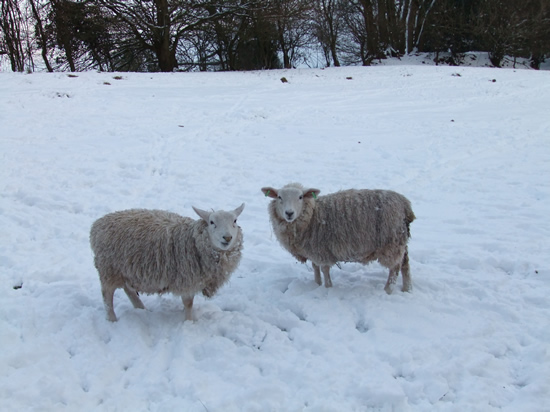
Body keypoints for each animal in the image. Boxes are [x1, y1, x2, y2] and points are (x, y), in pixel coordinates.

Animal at [89, 204, 245, 324]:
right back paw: (112, 319)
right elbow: (188, 303)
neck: (193, 241)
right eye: (212, 222)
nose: (227, 238)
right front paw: (189, 322)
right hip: (109, 269)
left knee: (128, 289)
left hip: (125, 269)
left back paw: (141, 308)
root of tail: (97, 225)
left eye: (235, 220)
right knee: (107, 296)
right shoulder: (186, 279)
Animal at [262, 183, 414, 292]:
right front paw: (317, 284)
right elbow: (315, 267)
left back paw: (388, 290)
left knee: (395, 268)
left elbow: (324, 269)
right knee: (405, 264)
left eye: (300, 197)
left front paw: (328, 287)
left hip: (391, 244)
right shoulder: (313, 249)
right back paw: (407, 289)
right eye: (279, 197)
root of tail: (405, 204)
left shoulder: (322, 251)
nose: (289, 213)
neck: (312, 216)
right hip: (400, 241)